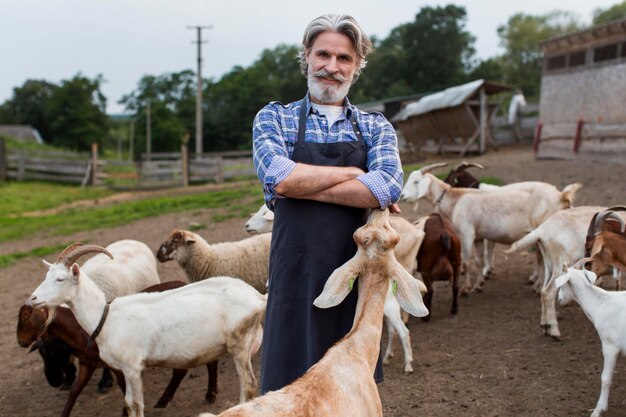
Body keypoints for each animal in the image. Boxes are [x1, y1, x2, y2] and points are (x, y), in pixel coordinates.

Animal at [17, 280, 219, 416]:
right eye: (42, 354)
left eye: (26, 316)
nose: (21, 341)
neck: (78, 329)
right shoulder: (87, 363)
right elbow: (74, 391)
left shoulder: (119, 365)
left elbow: (125, 389)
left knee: (190, 368)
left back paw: (201, 395)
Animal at [400, 162, 580, 292]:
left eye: (416, 181)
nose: (402, 196)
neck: (456, 200)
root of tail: (561, 196)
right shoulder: (478, 237)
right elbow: (479, 260)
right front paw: (479, 284)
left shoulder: (466, 235)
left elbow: (467, 262)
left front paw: (466, 289)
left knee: (543, 259)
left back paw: (537, 286)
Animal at [552, 262, 624, 414]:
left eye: (562, 284)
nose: (559, 299)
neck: (601, 304)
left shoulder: (610, 346)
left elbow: (605, 378)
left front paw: (599, 409)